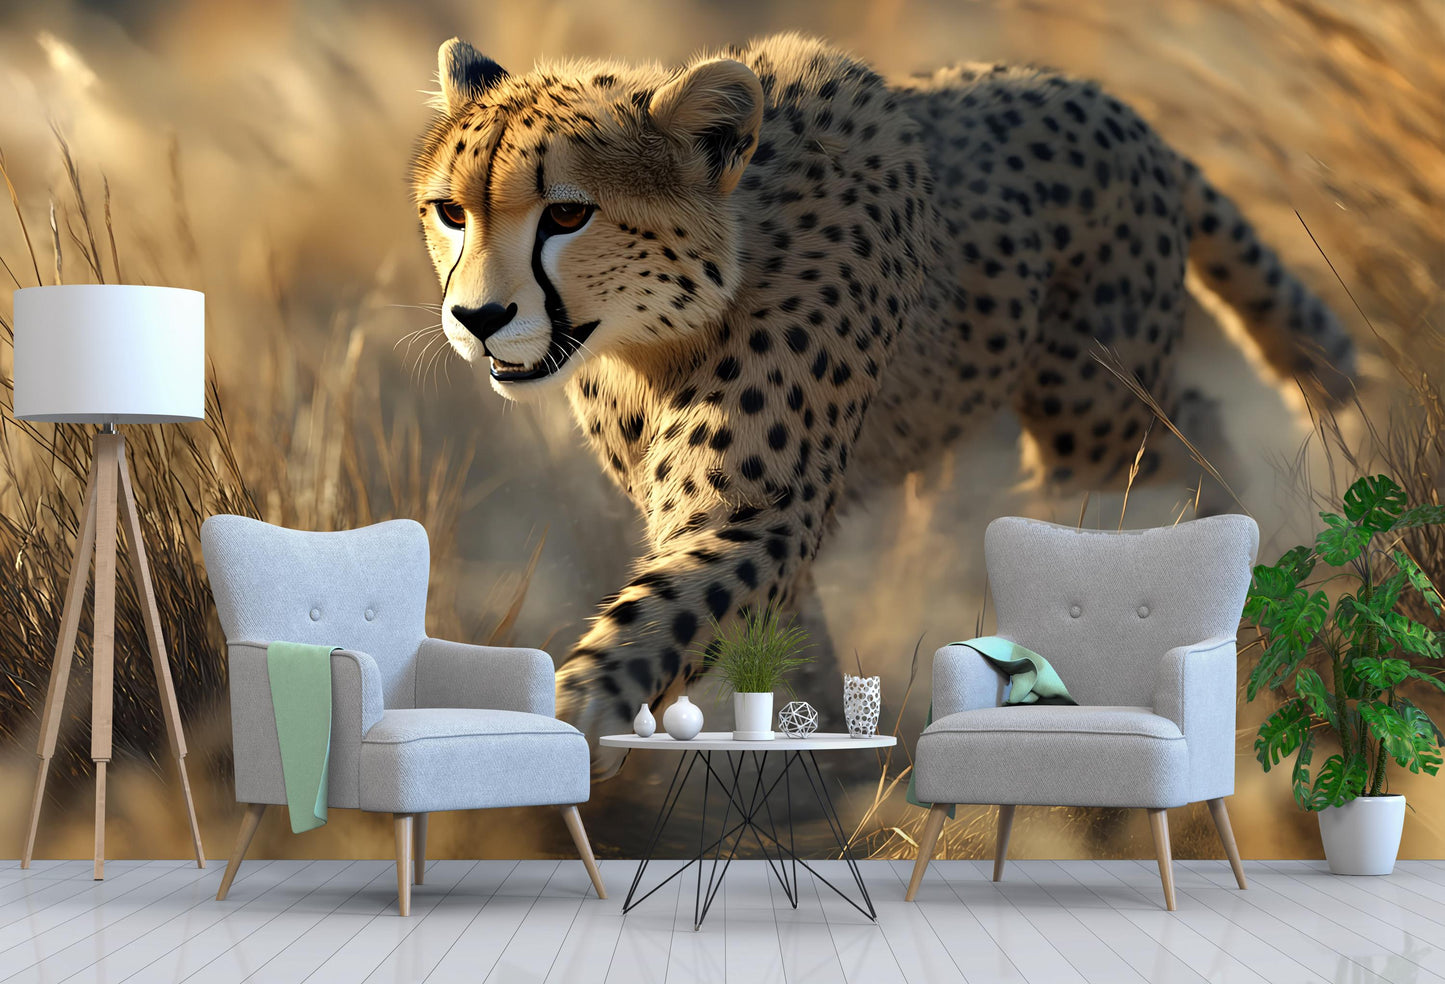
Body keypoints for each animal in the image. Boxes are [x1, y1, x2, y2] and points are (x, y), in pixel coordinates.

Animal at [409, 33, 1355, 778]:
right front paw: (824, 744)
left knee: (1181, 432)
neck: (658, 332)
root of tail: (1099, 96)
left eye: (568, 214)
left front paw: (573, 713)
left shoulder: (757, 514)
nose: (476, 319)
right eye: (450, 211)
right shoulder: (735, 527)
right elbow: (764, 635)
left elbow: (652, 623)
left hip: (1088, 411)